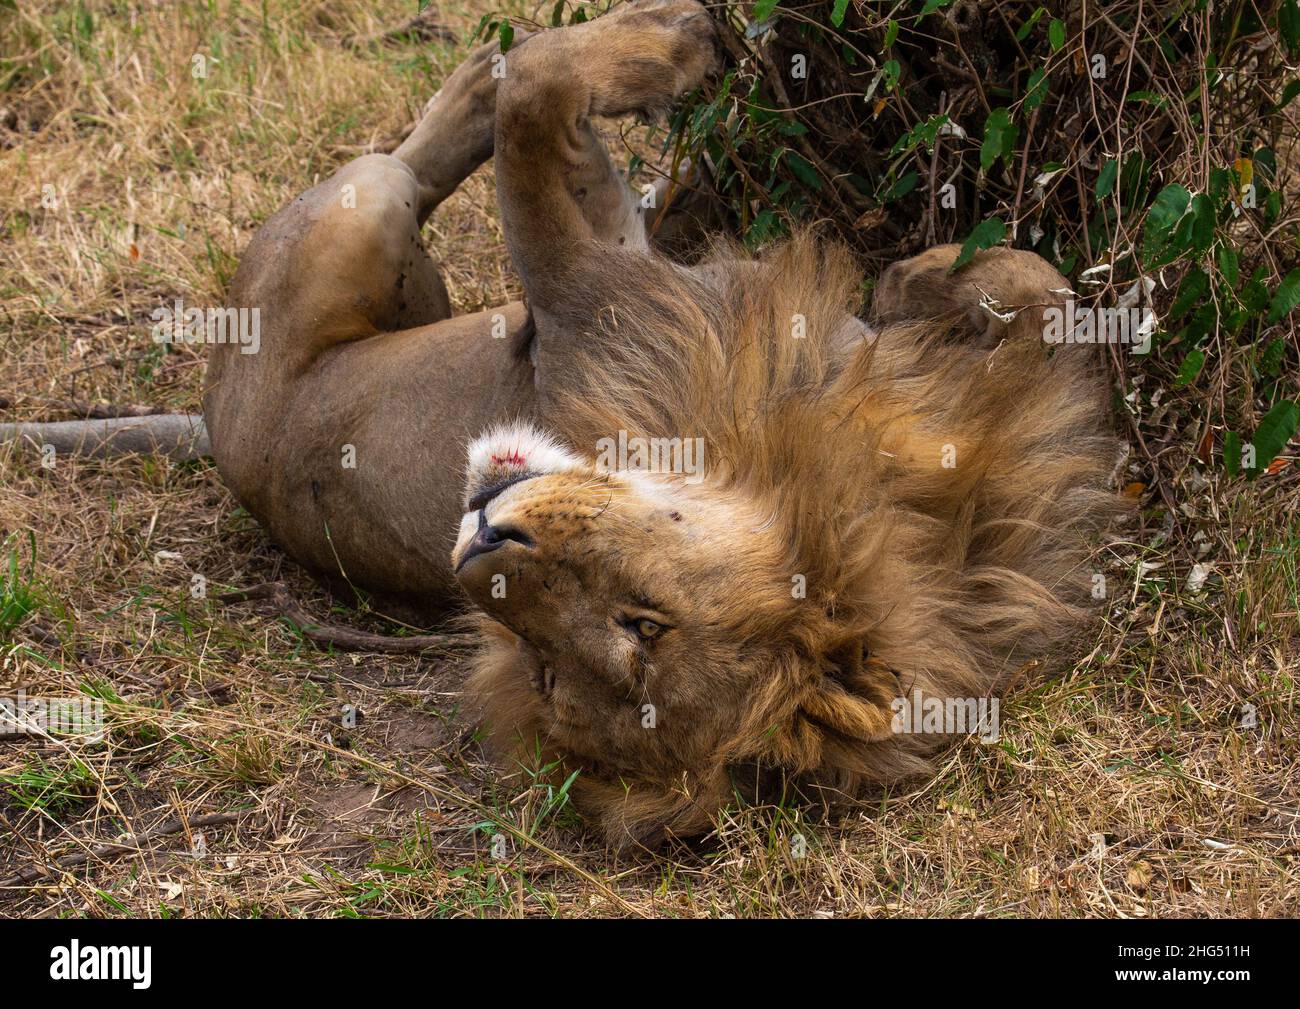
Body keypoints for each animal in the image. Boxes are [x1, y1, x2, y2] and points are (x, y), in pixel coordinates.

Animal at [15, 3, 1123, 847]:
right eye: (556, 662)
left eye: (638, 627)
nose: (482, 542)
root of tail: (212, 420)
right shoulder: (583, 286)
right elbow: (544, 88)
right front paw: (685, 40)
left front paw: (924, 279)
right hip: (361, 227)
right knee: (410, 155)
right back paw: (492, 71)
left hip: (370, 238)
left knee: (414, 158)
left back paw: (477, 78)